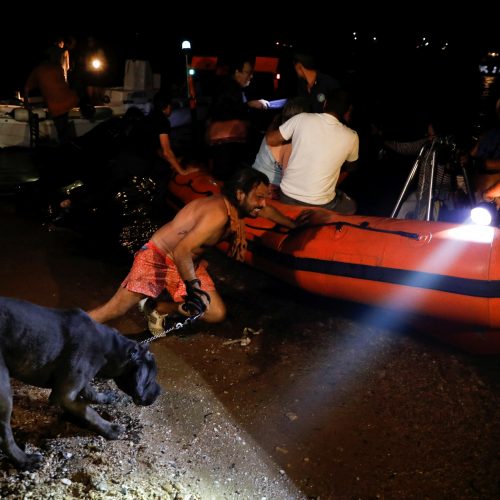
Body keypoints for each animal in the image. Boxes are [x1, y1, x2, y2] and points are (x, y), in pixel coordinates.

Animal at [0, 296, 161, 468]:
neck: (111, 349)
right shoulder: (65, 396)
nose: (160, 392)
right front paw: (110, 428)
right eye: (150, 379)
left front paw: (104, 397)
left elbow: (89, 390)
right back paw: (23, 460)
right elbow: (90, 412)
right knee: (5, 435)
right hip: (4, 393)